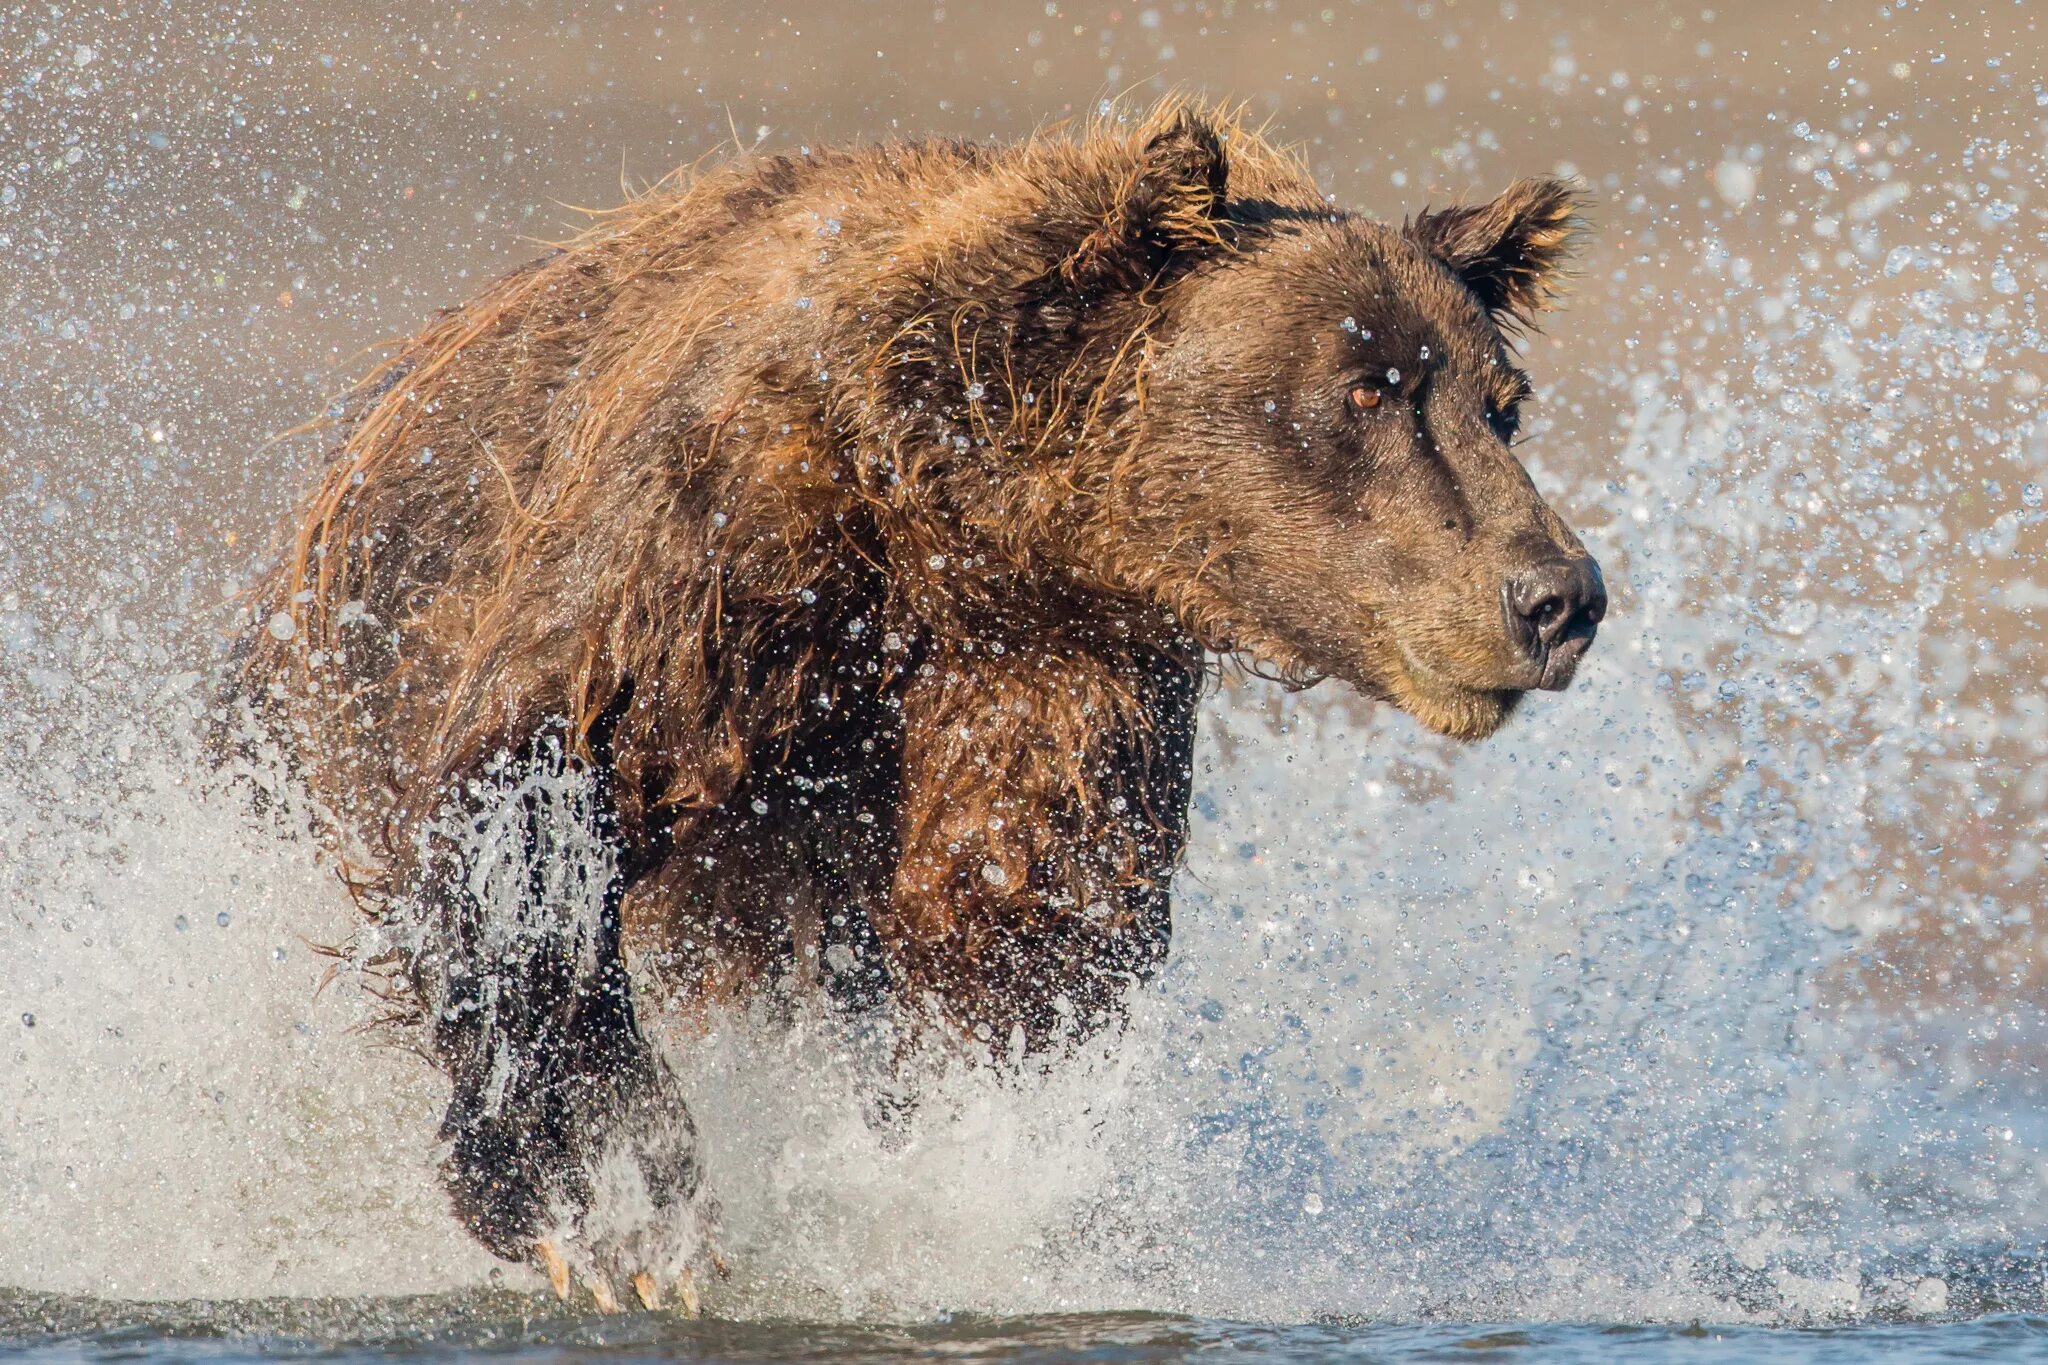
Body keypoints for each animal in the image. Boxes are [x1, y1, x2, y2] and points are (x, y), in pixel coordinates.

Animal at [224, 98, 1597, 1309]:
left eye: (1500, 402)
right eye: (1365, 388)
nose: (1557, 594)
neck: (954, 505)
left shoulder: (1045, 677)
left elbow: (1016, 928)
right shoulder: (708, 542)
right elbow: (534, 794)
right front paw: (620, 1209)